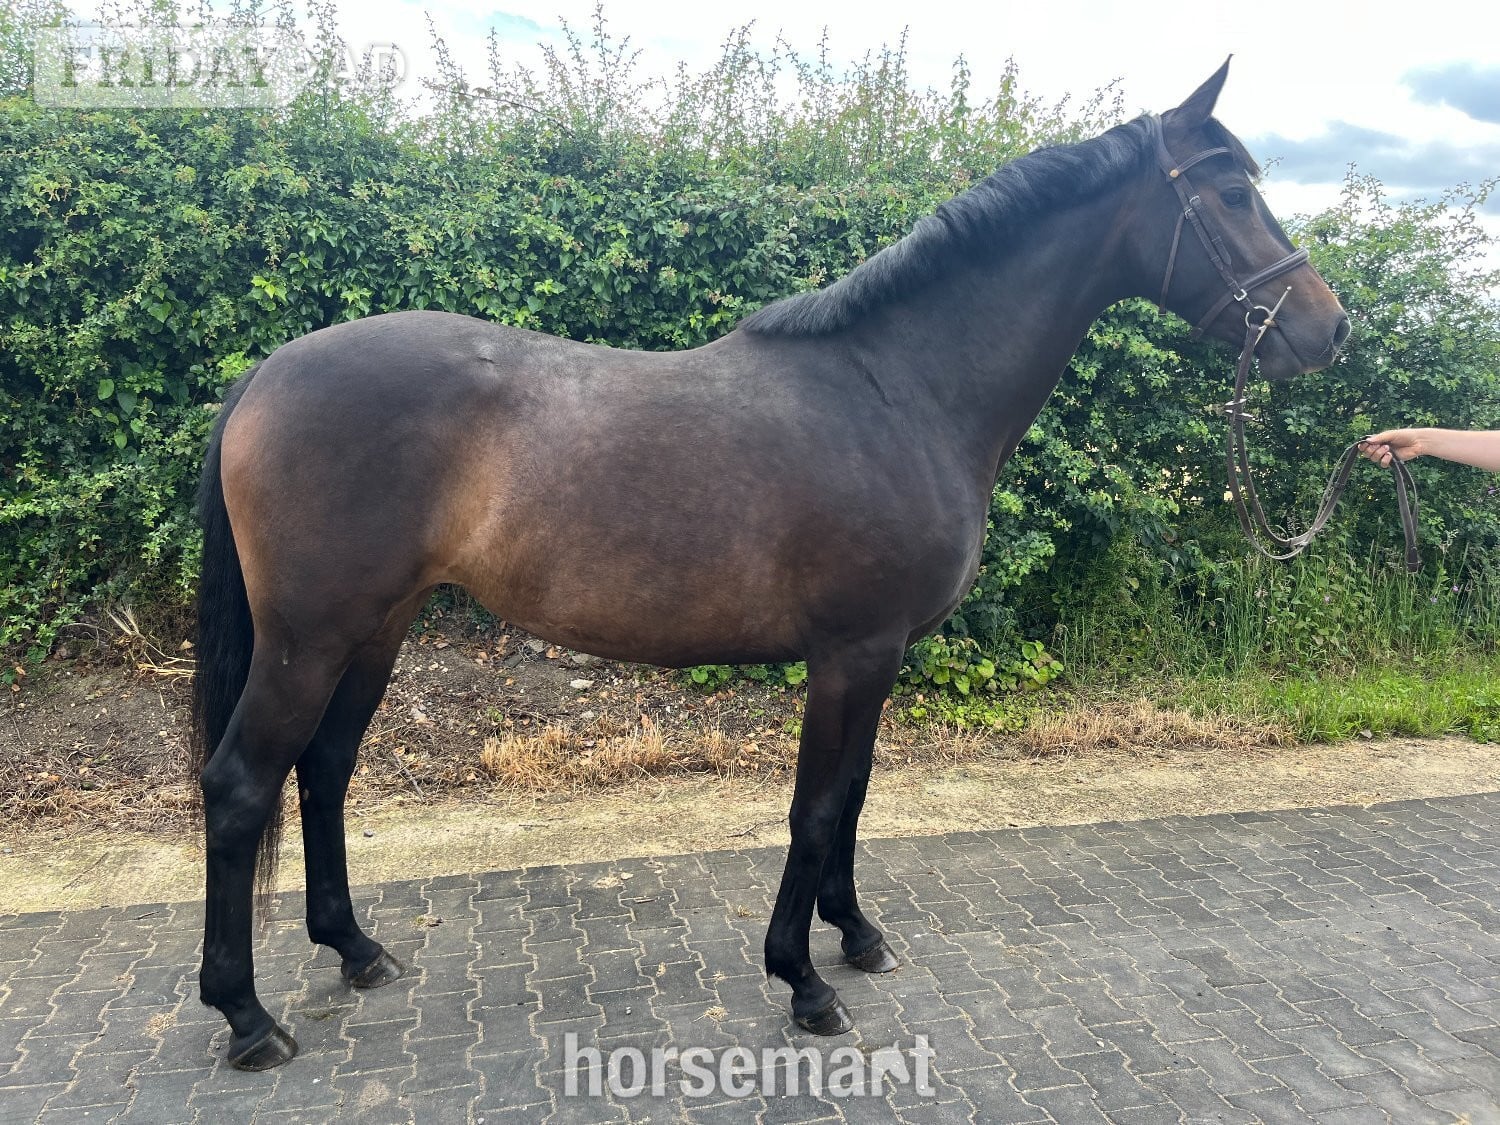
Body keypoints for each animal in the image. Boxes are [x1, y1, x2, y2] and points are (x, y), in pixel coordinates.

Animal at [190, 60, 1349, 1069]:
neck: (898, 389)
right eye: (1233, 192)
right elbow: (817, 807)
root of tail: (264, 377)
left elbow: (858, 792)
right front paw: (804, 980)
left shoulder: (880, 657)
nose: (1329, 330)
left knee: (324, 770)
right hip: (310, 637)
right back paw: (247, 1018)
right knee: (244, 783)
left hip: (374, 630)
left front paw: (857, 935)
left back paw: (356, 950)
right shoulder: (851, 653)